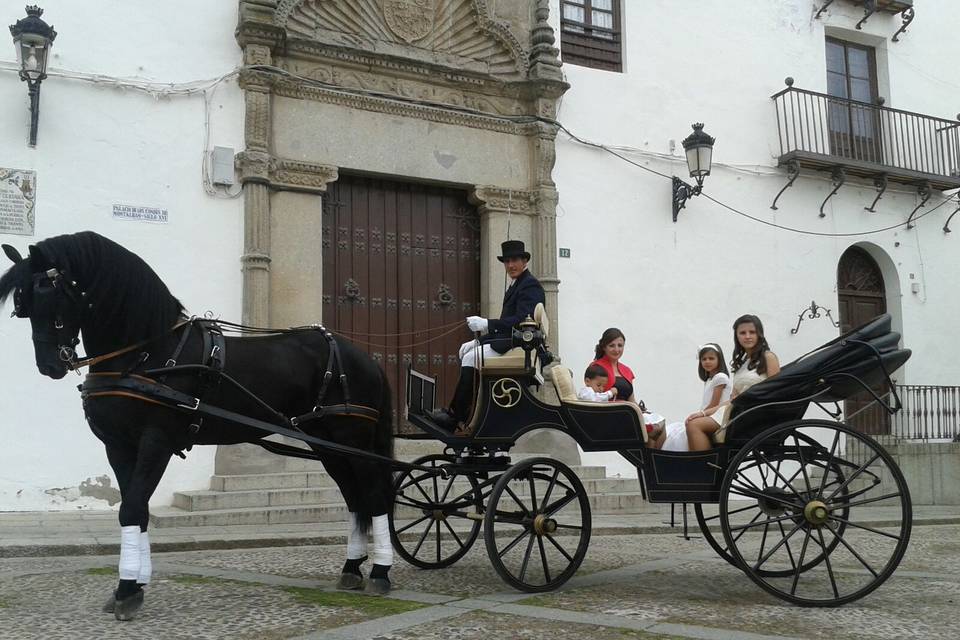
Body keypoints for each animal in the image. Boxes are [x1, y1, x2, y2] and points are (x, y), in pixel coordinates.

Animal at [0, 231, 398, 620]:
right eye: (23, 306)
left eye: (51, 296)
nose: (50, 365)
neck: (146, 354)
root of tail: (364, 356)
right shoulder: (119, 446)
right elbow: (136, 508)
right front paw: (137, 582)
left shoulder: (156, 441)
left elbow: (132, 508)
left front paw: (126, 588)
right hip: (326, 443)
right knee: (354, 498)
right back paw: (351, 567)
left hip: (352, 438)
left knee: (374, 495)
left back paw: (380, 571)